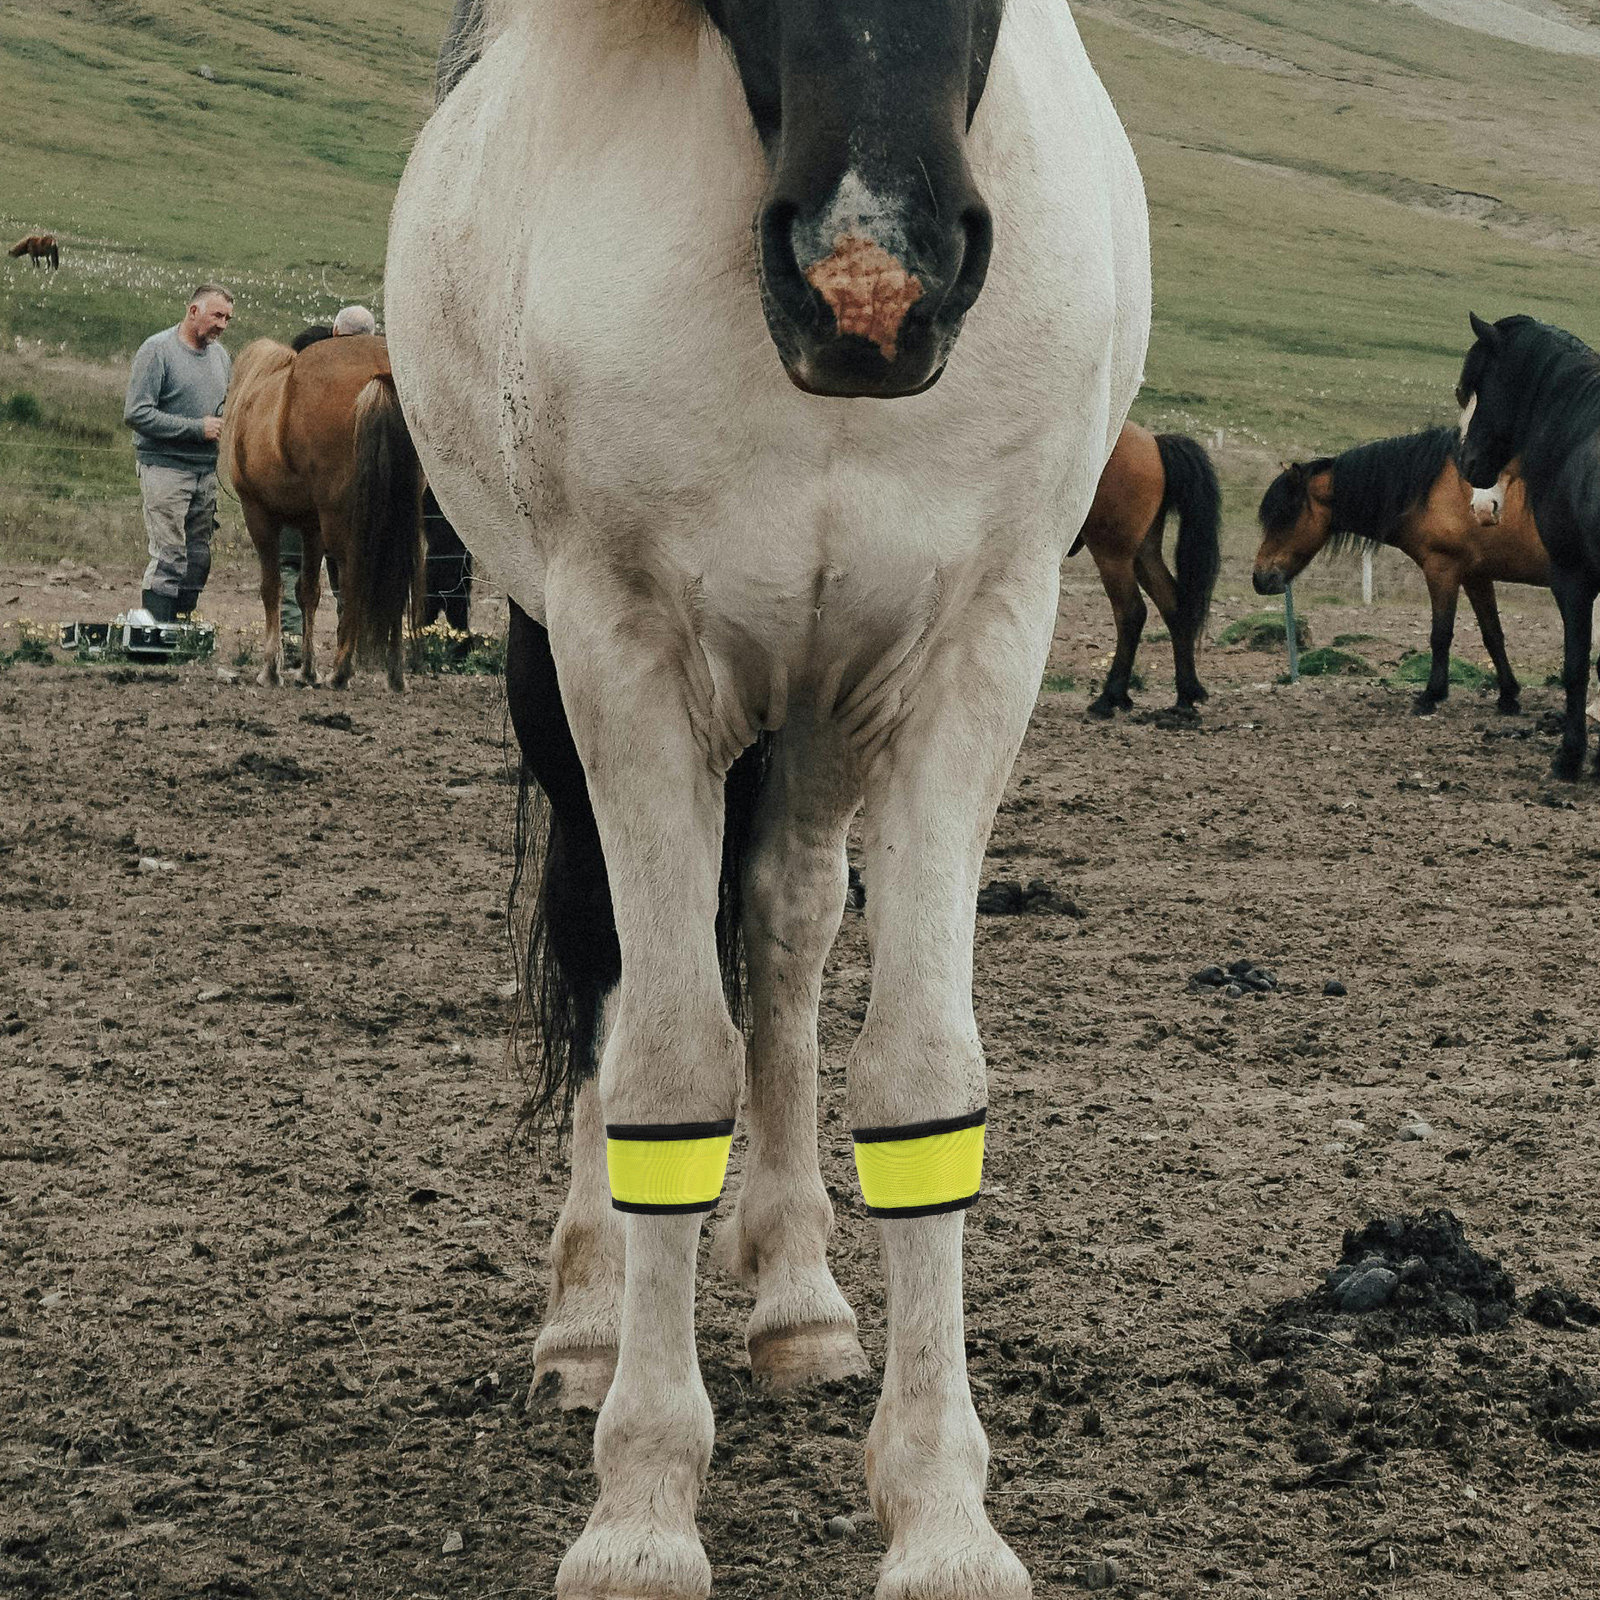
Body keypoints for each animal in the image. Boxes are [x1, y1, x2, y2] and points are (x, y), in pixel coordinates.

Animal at [219, 332, 422, 690]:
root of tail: (381, 373)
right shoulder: (311, 527)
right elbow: (308, 592)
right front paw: (306, 669)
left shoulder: (258, 515)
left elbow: (272, 588)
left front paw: (271, 669)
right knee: (396, 580)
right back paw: (395, 674)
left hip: (342, 523)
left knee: (354, 576)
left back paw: (341, 670)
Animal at [388, 0, 1150, 1594]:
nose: (872, 284)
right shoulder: (623, 658)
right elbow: (671, 1065)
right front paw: (642, 1503)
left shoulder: (974, 656)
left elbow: (918, 1073)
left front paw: (941, 1515)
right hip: (565, 676)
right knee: (613, 962)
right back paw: (586, 1322)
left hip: (817, 706)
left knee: (790, 930)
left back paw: (799, 1294)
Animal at [1069, 421, 1221, 717]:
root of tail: (1153, 441)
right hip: (1143, 554)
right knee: (1173, 606)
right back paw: (1185, 694)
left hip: (1113, 555)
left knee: (1131, 612)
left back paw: (1111, 696)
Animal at [1253, 428, 1549, 714]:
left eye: (1284, 515)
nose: (1260, 579)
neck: (1438, 489)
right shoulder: (1475, 576)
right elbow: (1492, 635)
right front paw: (1508, 696)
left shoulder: (1442, 570)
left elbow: (1441, 635)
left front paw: (1431, 695)